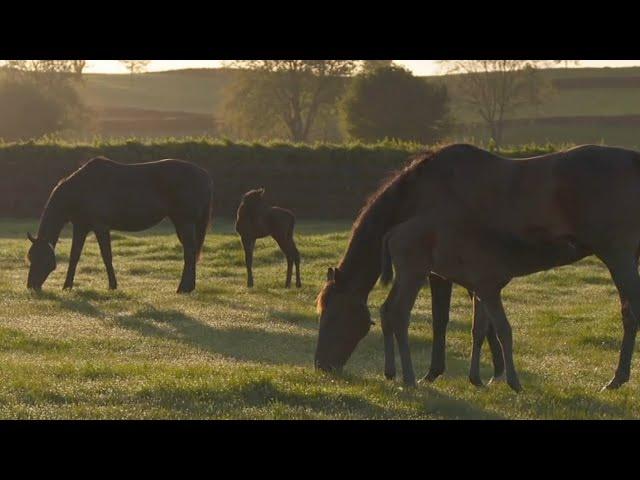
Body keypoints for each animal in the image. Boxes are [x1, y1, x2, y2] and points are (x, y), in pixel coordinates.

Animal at [27, 158, 212, 292]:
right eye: (30, 257)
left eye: (41, 259)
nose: (31, 286)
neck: (82, 189)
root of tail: (204, 175)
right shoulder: (81, 227)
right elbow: (74, 256)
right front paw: (67, 286)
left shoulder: (101, 227)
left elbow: (106, 256)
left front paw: (112, 286)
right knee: (191, 252)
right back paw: (189, 287)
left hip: (185, 222)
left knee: (189, 253)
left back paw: (183, 288)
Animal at [318, 144, 640, 392]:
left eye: (331, 314)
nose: (321, 366)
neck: (425, 190)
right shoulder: (470, 275)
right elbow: (482, 325)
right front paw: (493, 374)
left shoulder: (443, 274)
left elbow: (443, 320)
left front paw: (438, 373)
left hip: (619, 256)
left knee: (630, 311)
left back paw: (617, 379)